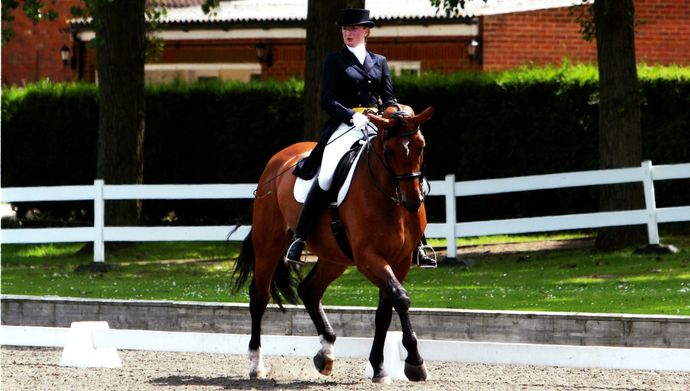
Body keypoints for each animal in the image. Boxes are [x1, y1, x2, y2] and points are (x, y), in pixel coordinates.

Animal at [234, 105, 432, 384]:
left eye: (421, 147)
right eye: (389, 151)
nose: (412, 201)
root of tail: (278, 160)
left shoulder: (400, 260)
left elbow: (385, 311)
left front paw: (379, 368)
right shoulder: (368, 257)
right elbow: (401, 298)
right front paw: (415, 362)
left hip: (334, 257)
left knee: (309, 290)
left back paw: (325, 354)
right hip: (268, 244)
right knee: (259, 297)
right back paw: (256, 365)